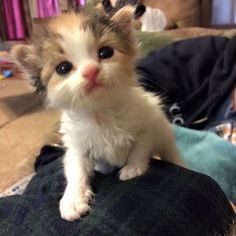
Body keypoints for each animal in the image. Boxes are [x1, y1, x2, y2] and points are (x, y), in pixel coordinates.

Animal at [11, 6, 183, 222]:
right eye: (63, 68)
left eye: (105, 52)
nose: (91, 70)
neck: (101, 113)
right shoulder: (76, 144)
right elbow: (76, 168)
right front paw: (73, 200)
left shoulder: (147, 122)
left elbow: (140, 147)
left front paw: (133, 168)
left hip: (165, 137)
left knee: (171, 153)